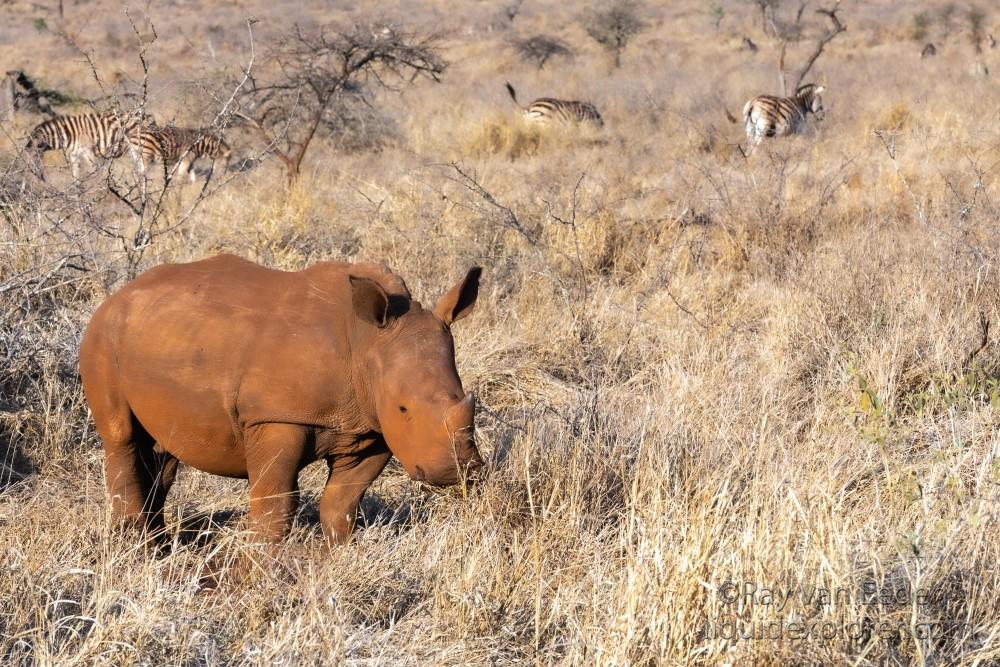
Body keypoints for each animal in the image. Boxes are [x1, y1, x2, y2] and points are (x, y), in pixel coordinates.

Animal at [24, 111, 152, 180]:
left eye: (36, 157)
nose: (40, 177)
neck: (68, 134)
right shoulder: (73, 155)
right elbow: (75, 177)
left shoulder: (87, 151)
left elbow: (94, 170)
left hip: (140, 145)